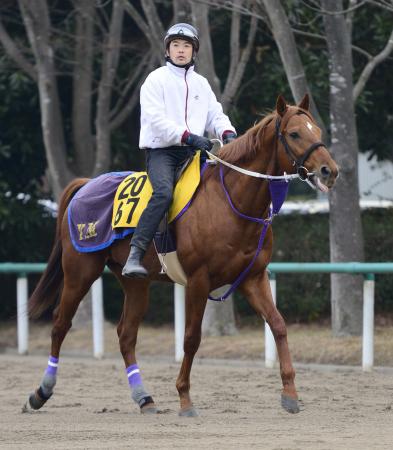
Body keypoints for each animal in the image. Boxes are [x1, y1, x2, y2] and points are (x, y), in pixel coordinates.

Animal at [24, 95, 336, 418]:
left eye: (318, 130)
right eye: (295, 134)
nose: (330, 170)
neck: (230, 202)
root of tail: (85, 184)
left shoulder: (253, 277)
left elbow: (278, 325)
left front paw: (290, 393)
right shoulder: (198, 280)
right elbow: (191, 338)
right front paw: (185, 398)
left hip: (135, 282)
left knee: (126, 334)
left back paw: (144, 398)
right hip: (79, 272)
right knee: (60, 324)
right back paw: (41, 392)